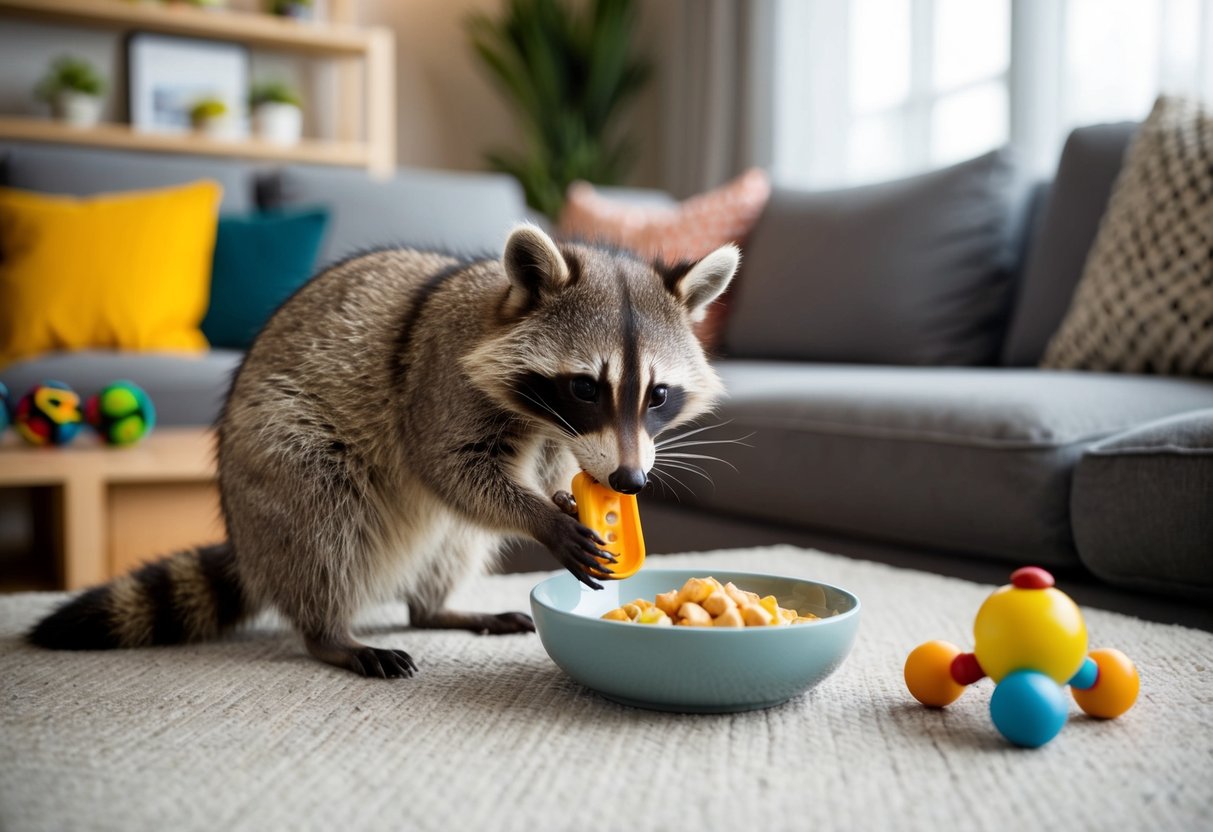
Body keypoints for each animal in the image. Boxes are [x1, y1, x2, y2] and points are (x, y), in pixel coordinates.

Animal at [27, 225, 739, 678]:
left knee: (453, 541)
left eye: (658, 395)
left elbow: (530, 474)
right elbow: (449, 468)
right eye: (586, 387)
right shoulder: (438, 381)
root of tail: (248, 542)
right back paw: (329, 635)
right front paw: (544, 517)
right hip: (276, 456)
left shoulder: (558, 437)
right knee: (321, 520)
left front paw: (564, 495)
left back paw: (435, 607)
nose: (631, 481)